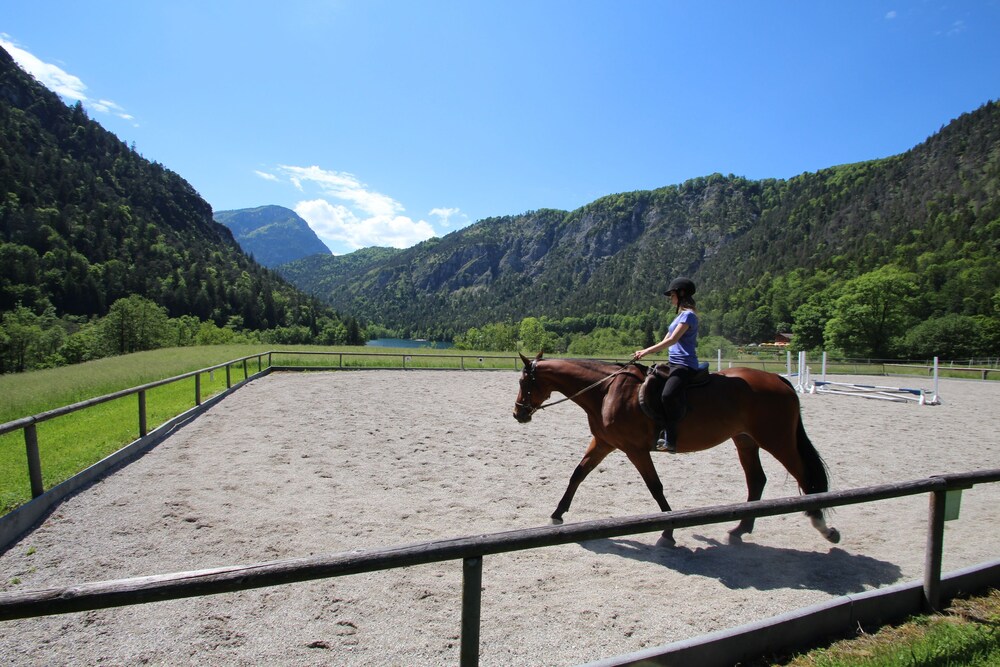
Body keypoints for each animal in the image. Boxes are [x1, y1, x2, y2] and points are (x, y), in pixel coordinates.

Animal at [512, 352, 840, 546]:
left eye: (523, 382)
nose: (518, 414)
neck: (605, 392)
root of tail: (778, 380)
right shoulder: (604, 443)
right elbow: (577, 475)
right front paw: (557, 515)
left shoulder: (634, 449)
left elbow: (654, 486)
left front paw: (668, 530)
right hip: (745, 440)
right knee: (757, 480)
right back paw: (739, 529)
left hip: (776, 439)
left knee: (804, 477)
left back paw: (823, 527)